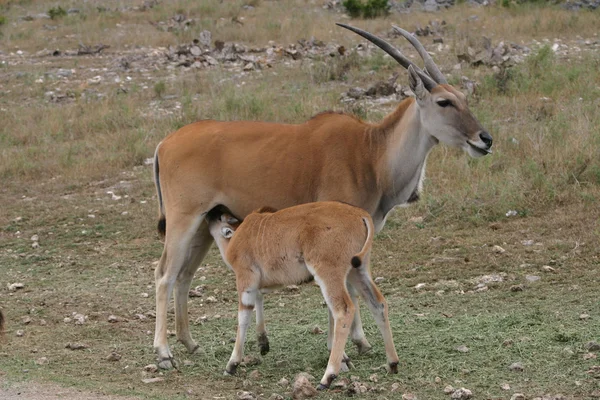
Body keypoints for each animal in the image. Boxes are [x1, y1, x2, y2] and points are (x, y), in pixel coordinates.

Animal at [151, 24, 492, 368]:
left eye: (464, 98)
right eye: (444, 102)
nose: (485, 139)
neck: (371, 152)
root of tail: (165, 143)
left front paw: (360, 342)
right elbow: (340, 294)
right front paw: (342, 351)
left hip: (204, 225)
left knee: (184, 276)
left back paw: (190, 343)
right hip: (183, 221)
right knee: (165, 274)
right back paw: (164, 352)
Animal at [206, 202, 398, 390]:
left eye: (219, 217)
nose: (209, 212)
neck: (241, 231)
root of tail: (359, 214)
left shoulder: (245, 280)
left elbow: (244, 317)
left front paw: (232, 364)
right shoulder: (257, 285)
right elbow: (259, 300)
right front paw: (263, 342)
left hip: (328, 273)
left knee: (343, 310)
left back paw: (328, 377)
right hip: (357, 271)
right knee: (378, 304)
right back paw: (392, 363)